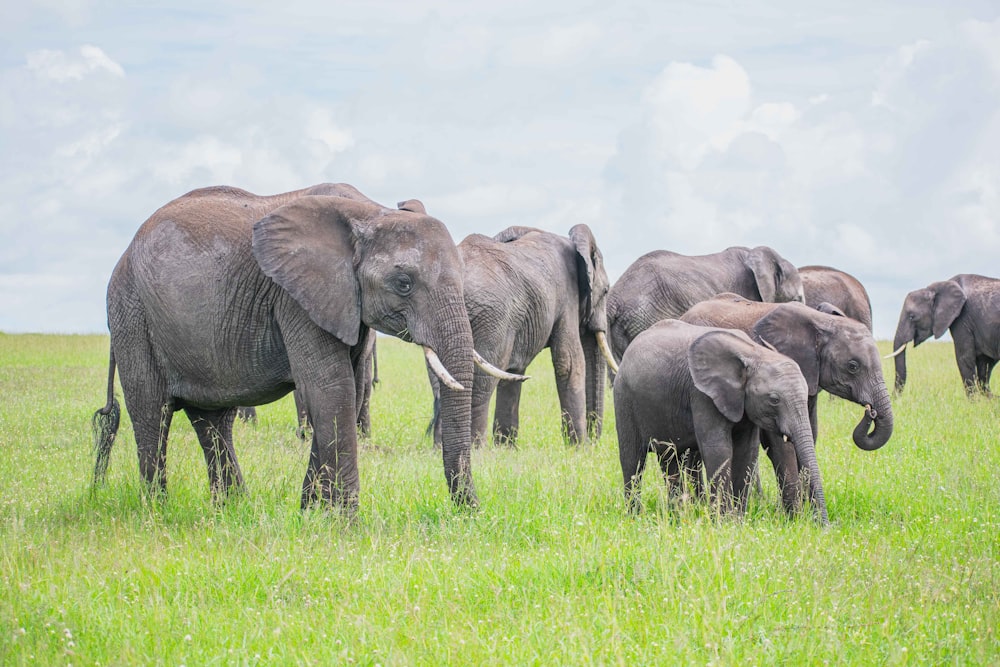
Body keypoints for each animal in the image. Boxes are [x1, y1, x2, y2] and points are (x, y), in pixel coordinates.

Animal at [91, 183, 516, 512]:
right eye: (404, 284)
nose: (470, 513)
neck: (371, 212)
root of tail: (125, 253)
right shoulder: (296, 298)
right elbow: (331, 390)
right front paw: (345, 524)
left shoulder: (347, 306)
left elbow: (344, 391)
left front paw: (310, 514)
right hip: (133, 313)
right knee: (152, 411)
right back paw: (157, 511)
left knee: (212, 420)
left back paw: (233, 508)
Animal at [428, 224, 620, 448]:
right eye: (606, 291)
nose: (594, 443)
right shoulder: (567, 297)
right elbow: (570, 363)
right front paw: (578, 449)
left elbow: (514, 371)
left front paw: (506, 449)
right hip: (491, 319)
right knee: (481, 385)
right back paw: (477, 449)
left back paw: (439, 450)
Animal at [616, 320, 828, 524]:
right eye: (774, 399)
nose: (823, 527)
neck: (753, 353)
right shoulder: (702, 394)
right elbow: (718, 449)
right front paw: (724, 522)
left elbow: (746, 451)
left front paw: (738, 522)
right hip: (624, 399)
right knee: (633, 462)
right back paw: (634, 517)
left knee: (670, 461)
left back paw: (676, 516)